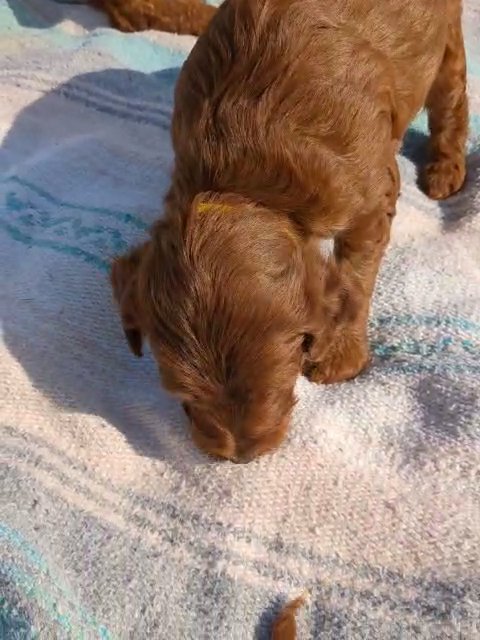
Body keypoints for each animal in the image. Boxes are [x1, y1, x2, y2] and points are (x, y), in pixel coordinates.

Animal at [110, 0, 466, 460]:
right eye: (185, 398)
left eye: (282, 380)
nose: (241, 456)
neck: (238, 183)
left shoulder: (369, 196)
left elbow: (354, 280)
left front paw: (341, 355)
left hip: (446, 39)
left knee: (452, 95)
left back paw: (446, 169)